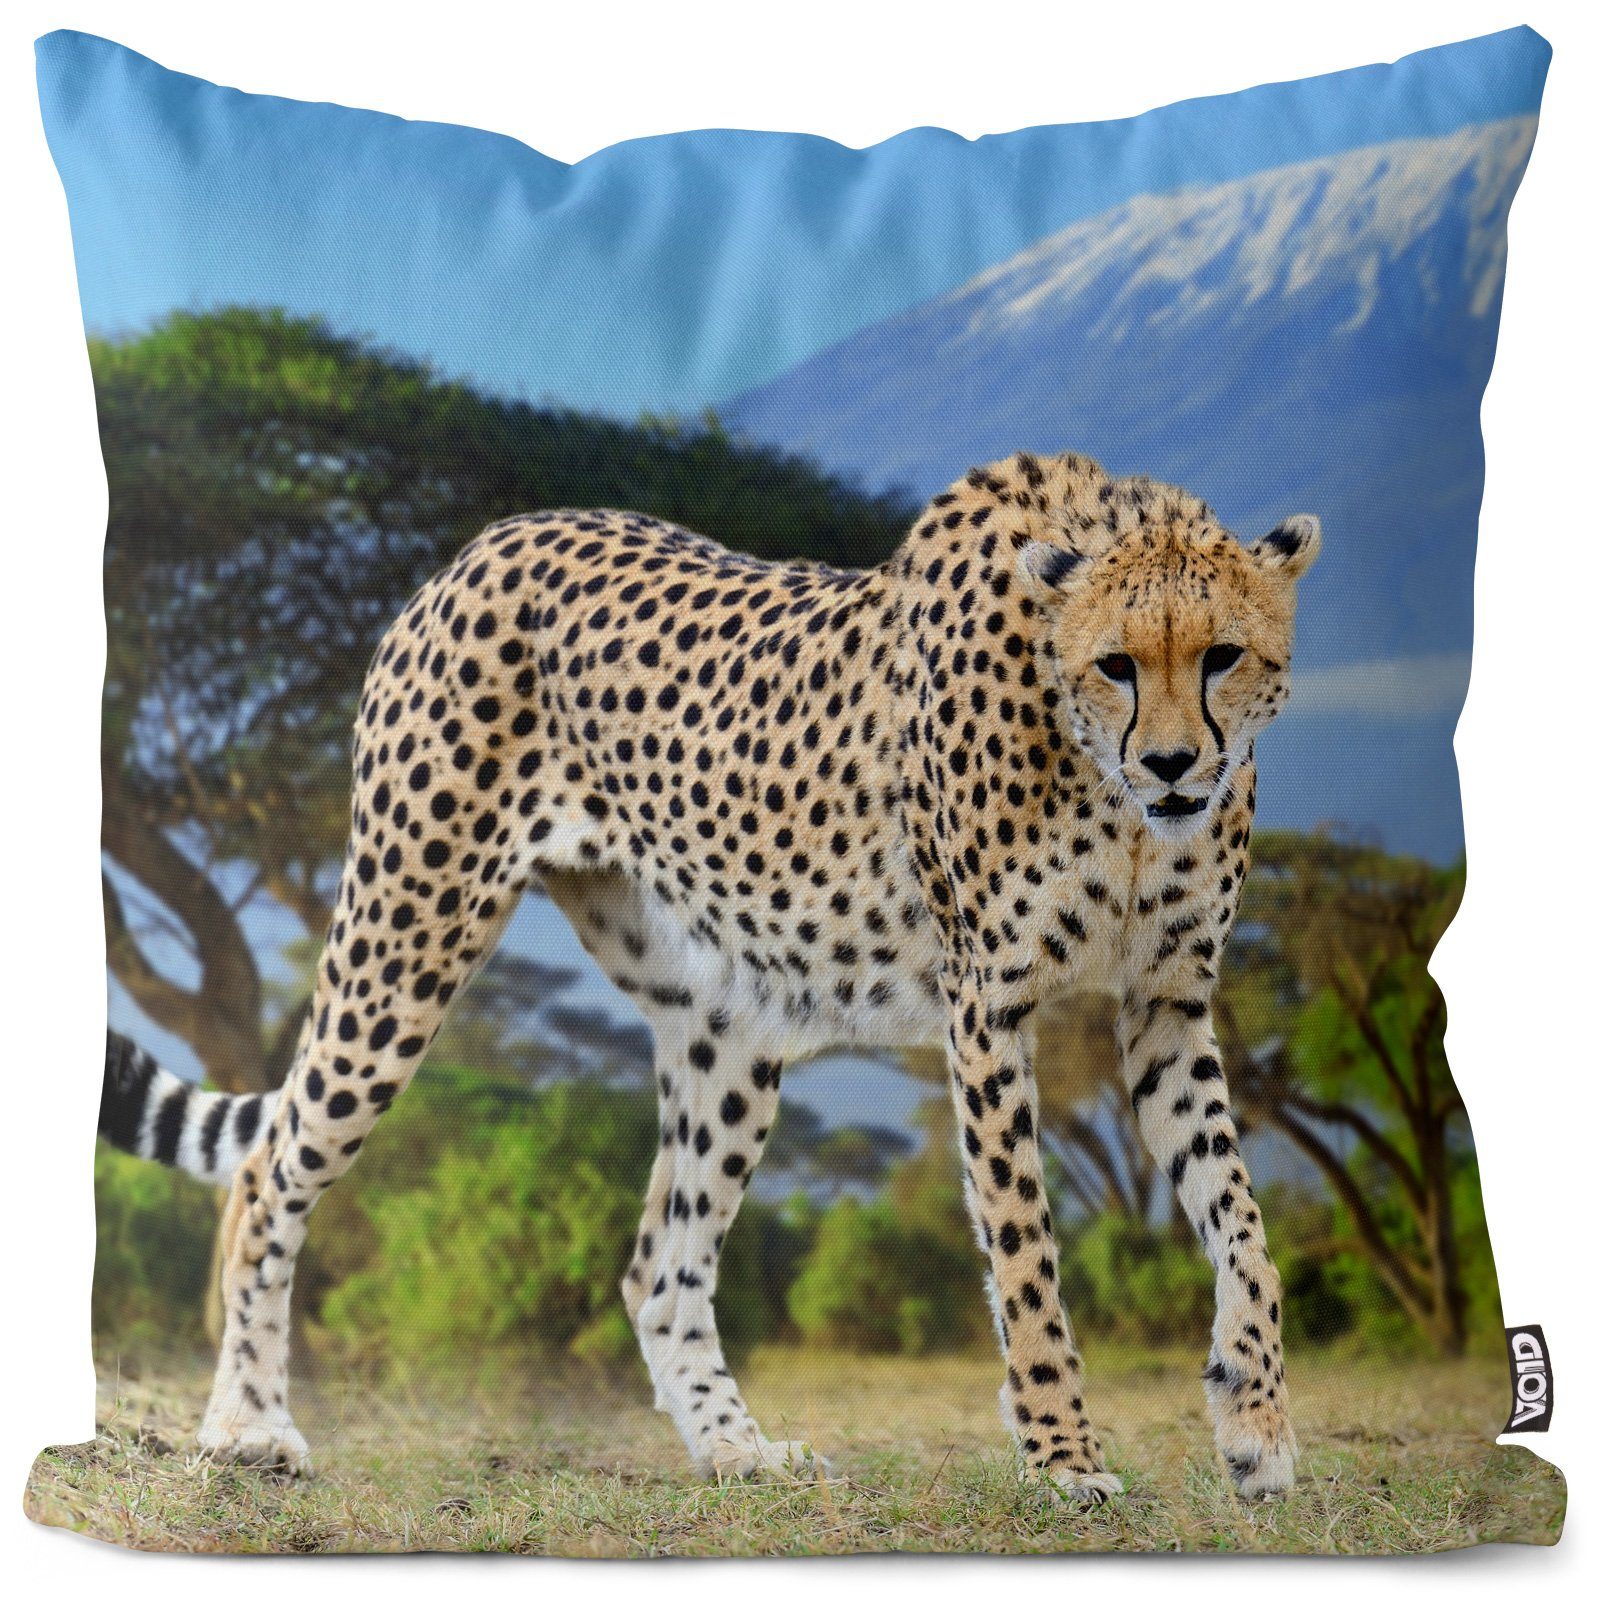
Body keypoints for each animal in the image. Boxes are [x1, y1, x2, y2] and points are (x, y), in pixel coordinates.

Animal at [99, 449, 1320, 1501]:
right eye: (1116, 663)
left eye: (1221, 654)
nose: (1174, 764)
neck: (1111, 792)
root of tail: (484, 543)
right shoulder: (990, 1011)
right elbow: (1027, 1256)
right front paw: (1065, 1457)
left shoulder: (1167, 1002)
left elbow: (1243, 1222)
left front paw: (1256, 1426)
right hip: (408, 930)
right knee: (268, 1173)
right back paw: (248, 1426)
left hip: (728, 1026)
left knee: (660, 1268)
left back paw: (738, 1451)